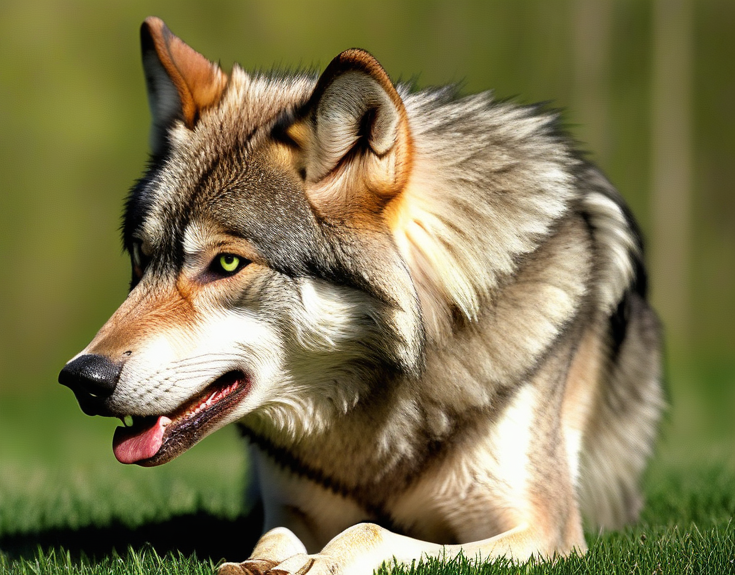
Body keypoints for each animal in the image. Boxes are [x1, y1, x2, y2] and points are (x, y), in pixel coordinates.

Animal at [59, 16, 664, 575]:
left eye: (226, 263)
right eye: (141, 256)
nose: (81, 378)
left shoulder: (543, 530)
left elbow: (367, 533)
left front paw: (317, 564)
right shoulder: (292, 508)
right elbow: (274, 538)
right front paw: (264, 564)